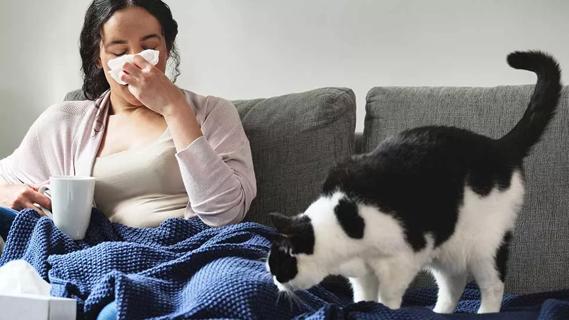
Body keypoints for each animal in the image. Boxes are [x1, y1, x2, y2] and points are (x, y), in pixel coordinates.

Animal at [266, 51, 560, 314]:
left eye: (278, 266)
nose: (275, 283)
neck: (346, 222)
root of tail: (499, 146)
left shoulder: (400, 261)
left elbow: (388, 297)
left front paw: (384, 309)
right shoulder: (364, 274)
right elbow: (364, 296)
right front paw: (364, 306)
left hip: (485, 247)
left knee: (493, 285)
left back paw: (485, 311)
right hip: (447, 251)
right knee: (454, 284)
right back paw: (439, 312)